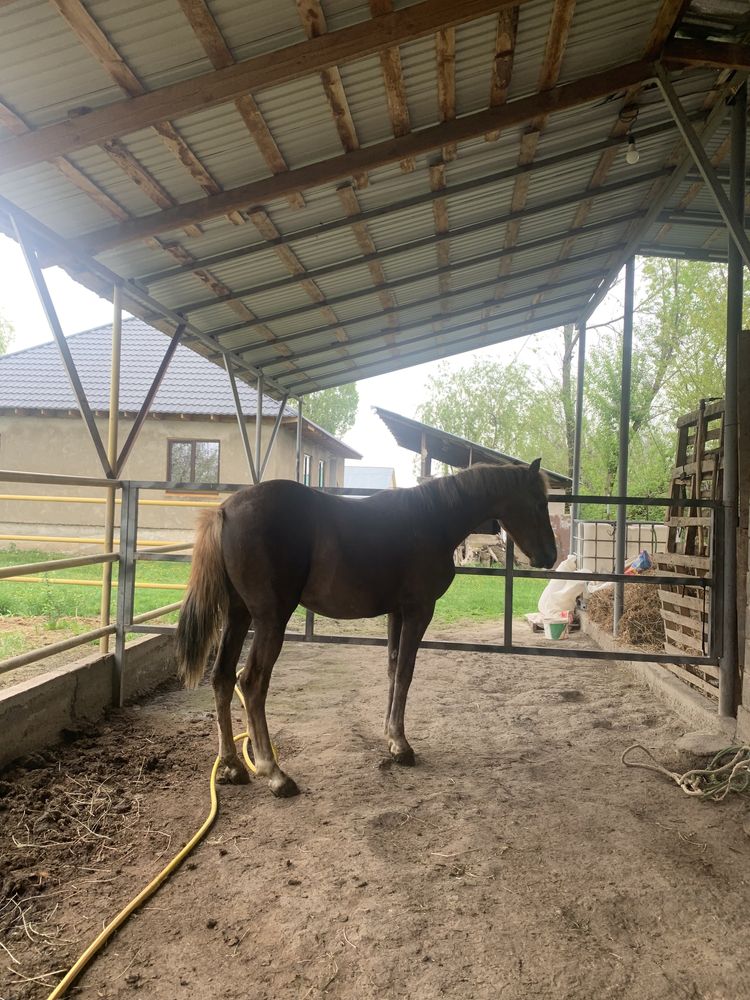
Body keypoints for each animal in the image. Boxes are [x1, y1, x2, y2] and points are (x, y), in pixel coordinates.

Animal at [175, 460, 560, 796]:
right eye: (539, 502)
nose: (550, 556)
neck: (432, 518)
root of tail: (225, 511)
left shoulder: (397, 612)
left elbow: (393, 669)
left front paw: (391, 737)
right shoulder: (419, 610)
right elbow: (405, 671)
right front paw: (402, 746)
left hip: (238, 615)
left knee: (223, 678)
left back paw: (231, 766)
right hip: (271, 618)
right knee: (251, 683)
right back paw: (274, 774)